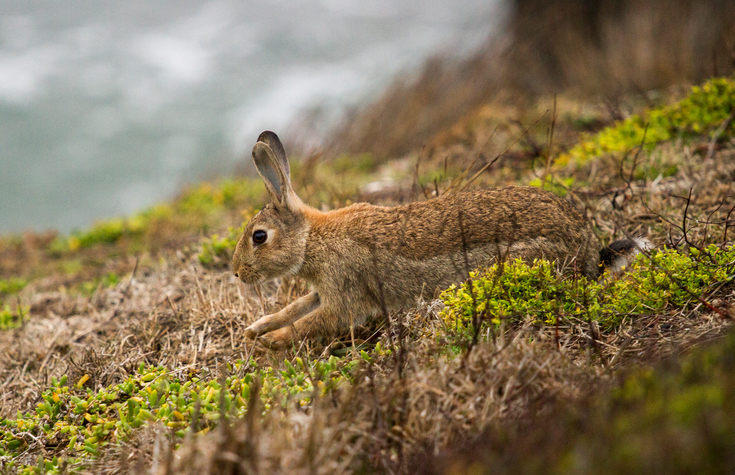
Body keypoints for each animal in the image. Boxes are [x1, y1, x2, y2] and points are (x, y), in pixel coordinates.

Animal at [231, 132, 648, 348]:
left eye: (259, 237)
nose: (236, 273)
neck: (311, 239)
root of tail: (587, 250)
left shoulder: (344, 294)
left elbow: (314, 322)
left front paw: (269, 341)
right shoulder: (324, 289)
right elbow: (295, 307)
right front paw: (256, 328)